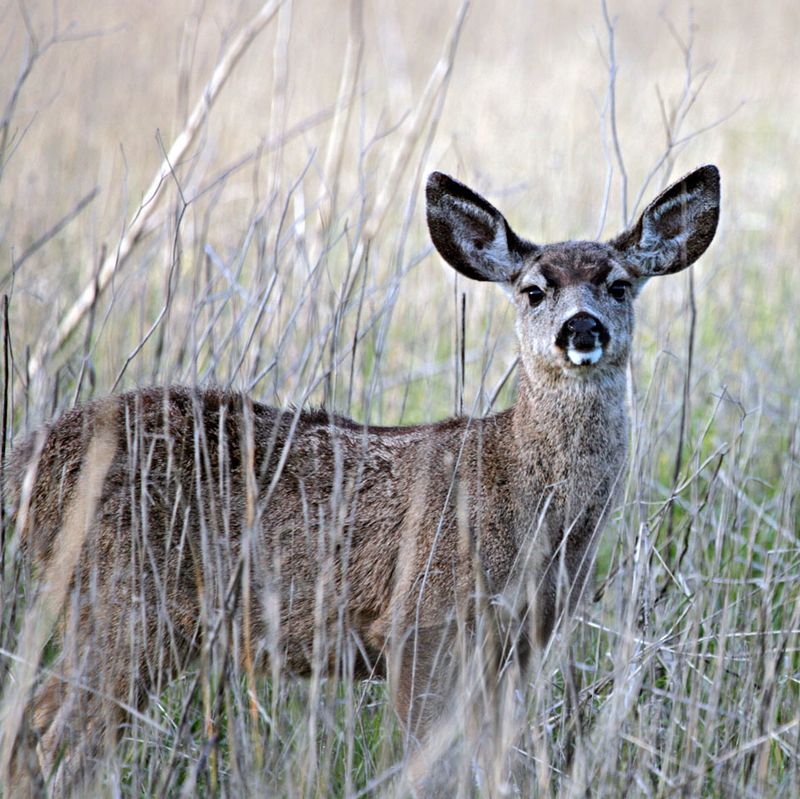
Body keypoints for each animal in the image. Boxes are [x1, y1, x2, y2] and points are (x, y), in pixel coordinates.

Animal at [3, 164, 720, 792]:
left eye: (620, 284)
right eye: (533, 289)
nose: (582, 329)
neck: (521, 490)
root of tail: (27, 459)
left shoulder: (513, 650)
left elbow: (499, 768)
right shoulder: (419, 626)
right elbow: (428, 771)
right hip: (120, 602)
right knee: (46, 727)